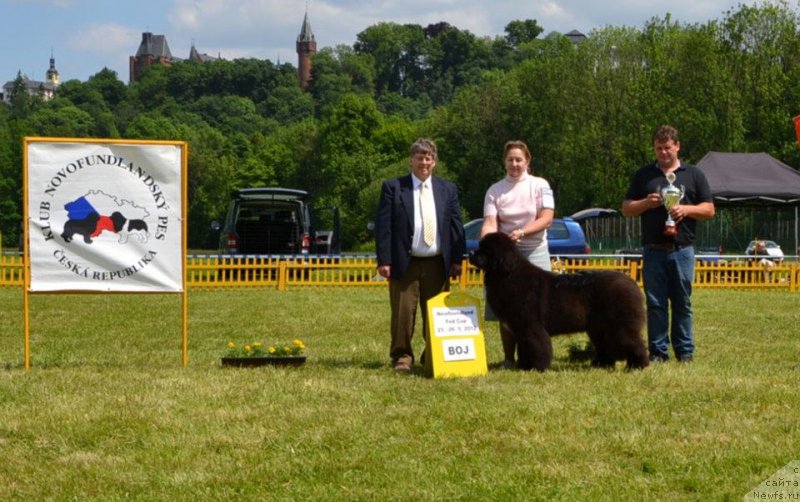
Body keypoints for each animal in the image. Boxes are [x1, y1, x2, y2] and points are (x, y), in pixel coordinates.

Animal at [468, 233, 648, 370]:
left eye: (485, 251)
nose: (470, 253)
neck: (508, 274)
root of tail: (632, 282)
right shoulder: (520, 328)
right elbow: (524, 347)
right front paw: (525, 366)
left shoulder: (531, 325)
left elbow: (536, 345)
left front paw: (537, 367)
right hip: (599, 328)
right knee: (606, 345)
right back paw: (601, 364)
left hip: (620, 325)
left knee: (634, 342)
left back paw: (637, 366)